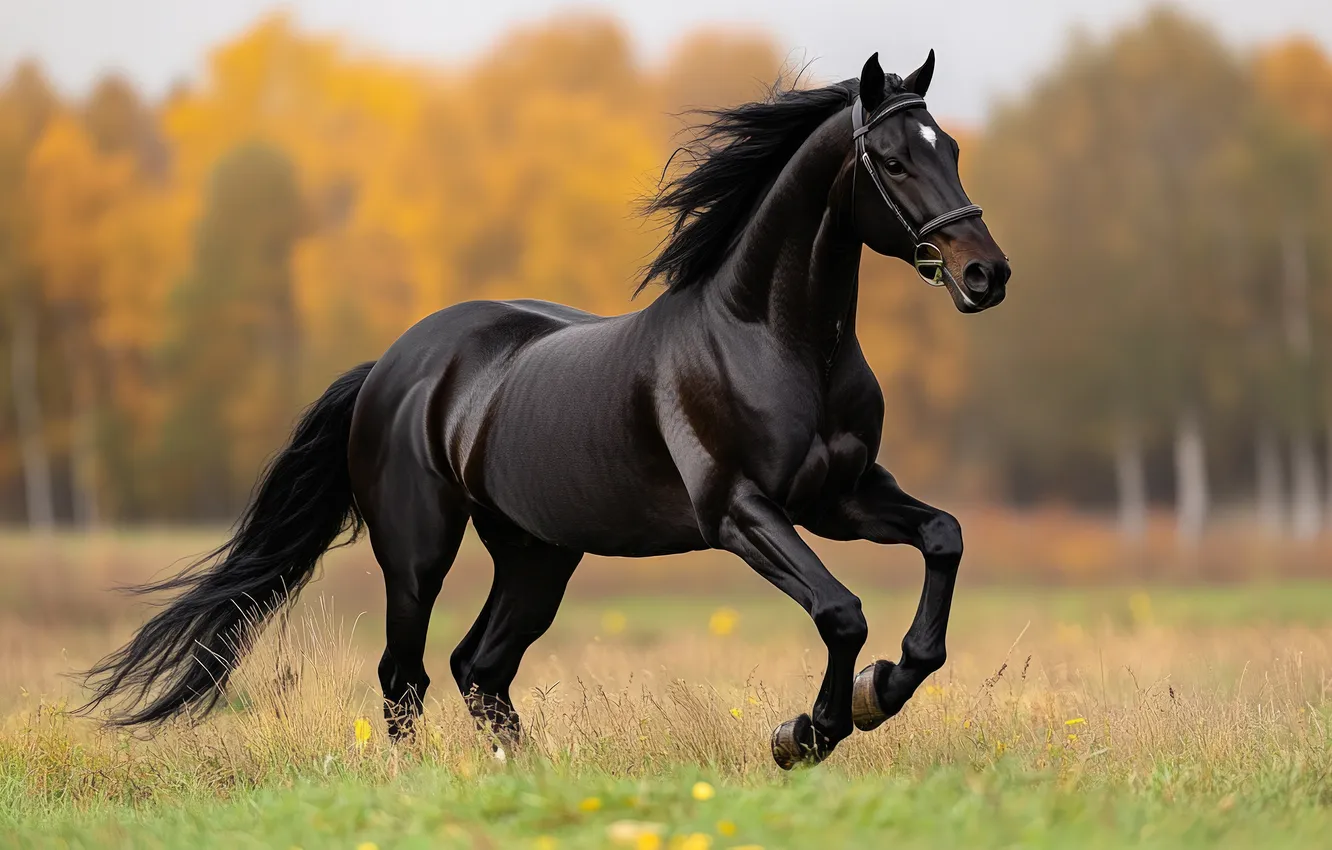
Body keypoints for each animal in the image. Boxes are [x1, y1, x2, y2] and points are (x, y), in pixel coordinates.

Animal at [80, 50, 1010, 769]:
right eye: (892, 159)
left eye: (955, 149)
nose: (985, 274)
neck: (773, 339)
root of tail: (391, 366)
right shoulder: (741, 512)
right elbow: (840, 612)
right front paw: (807, 733)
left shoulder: (840, 496)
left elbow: (943, 537)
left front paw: (883, 689)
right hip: (417, 552)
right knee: (407, 676)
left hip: (537, 555)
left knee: (479, 668)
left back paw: (527, 777)